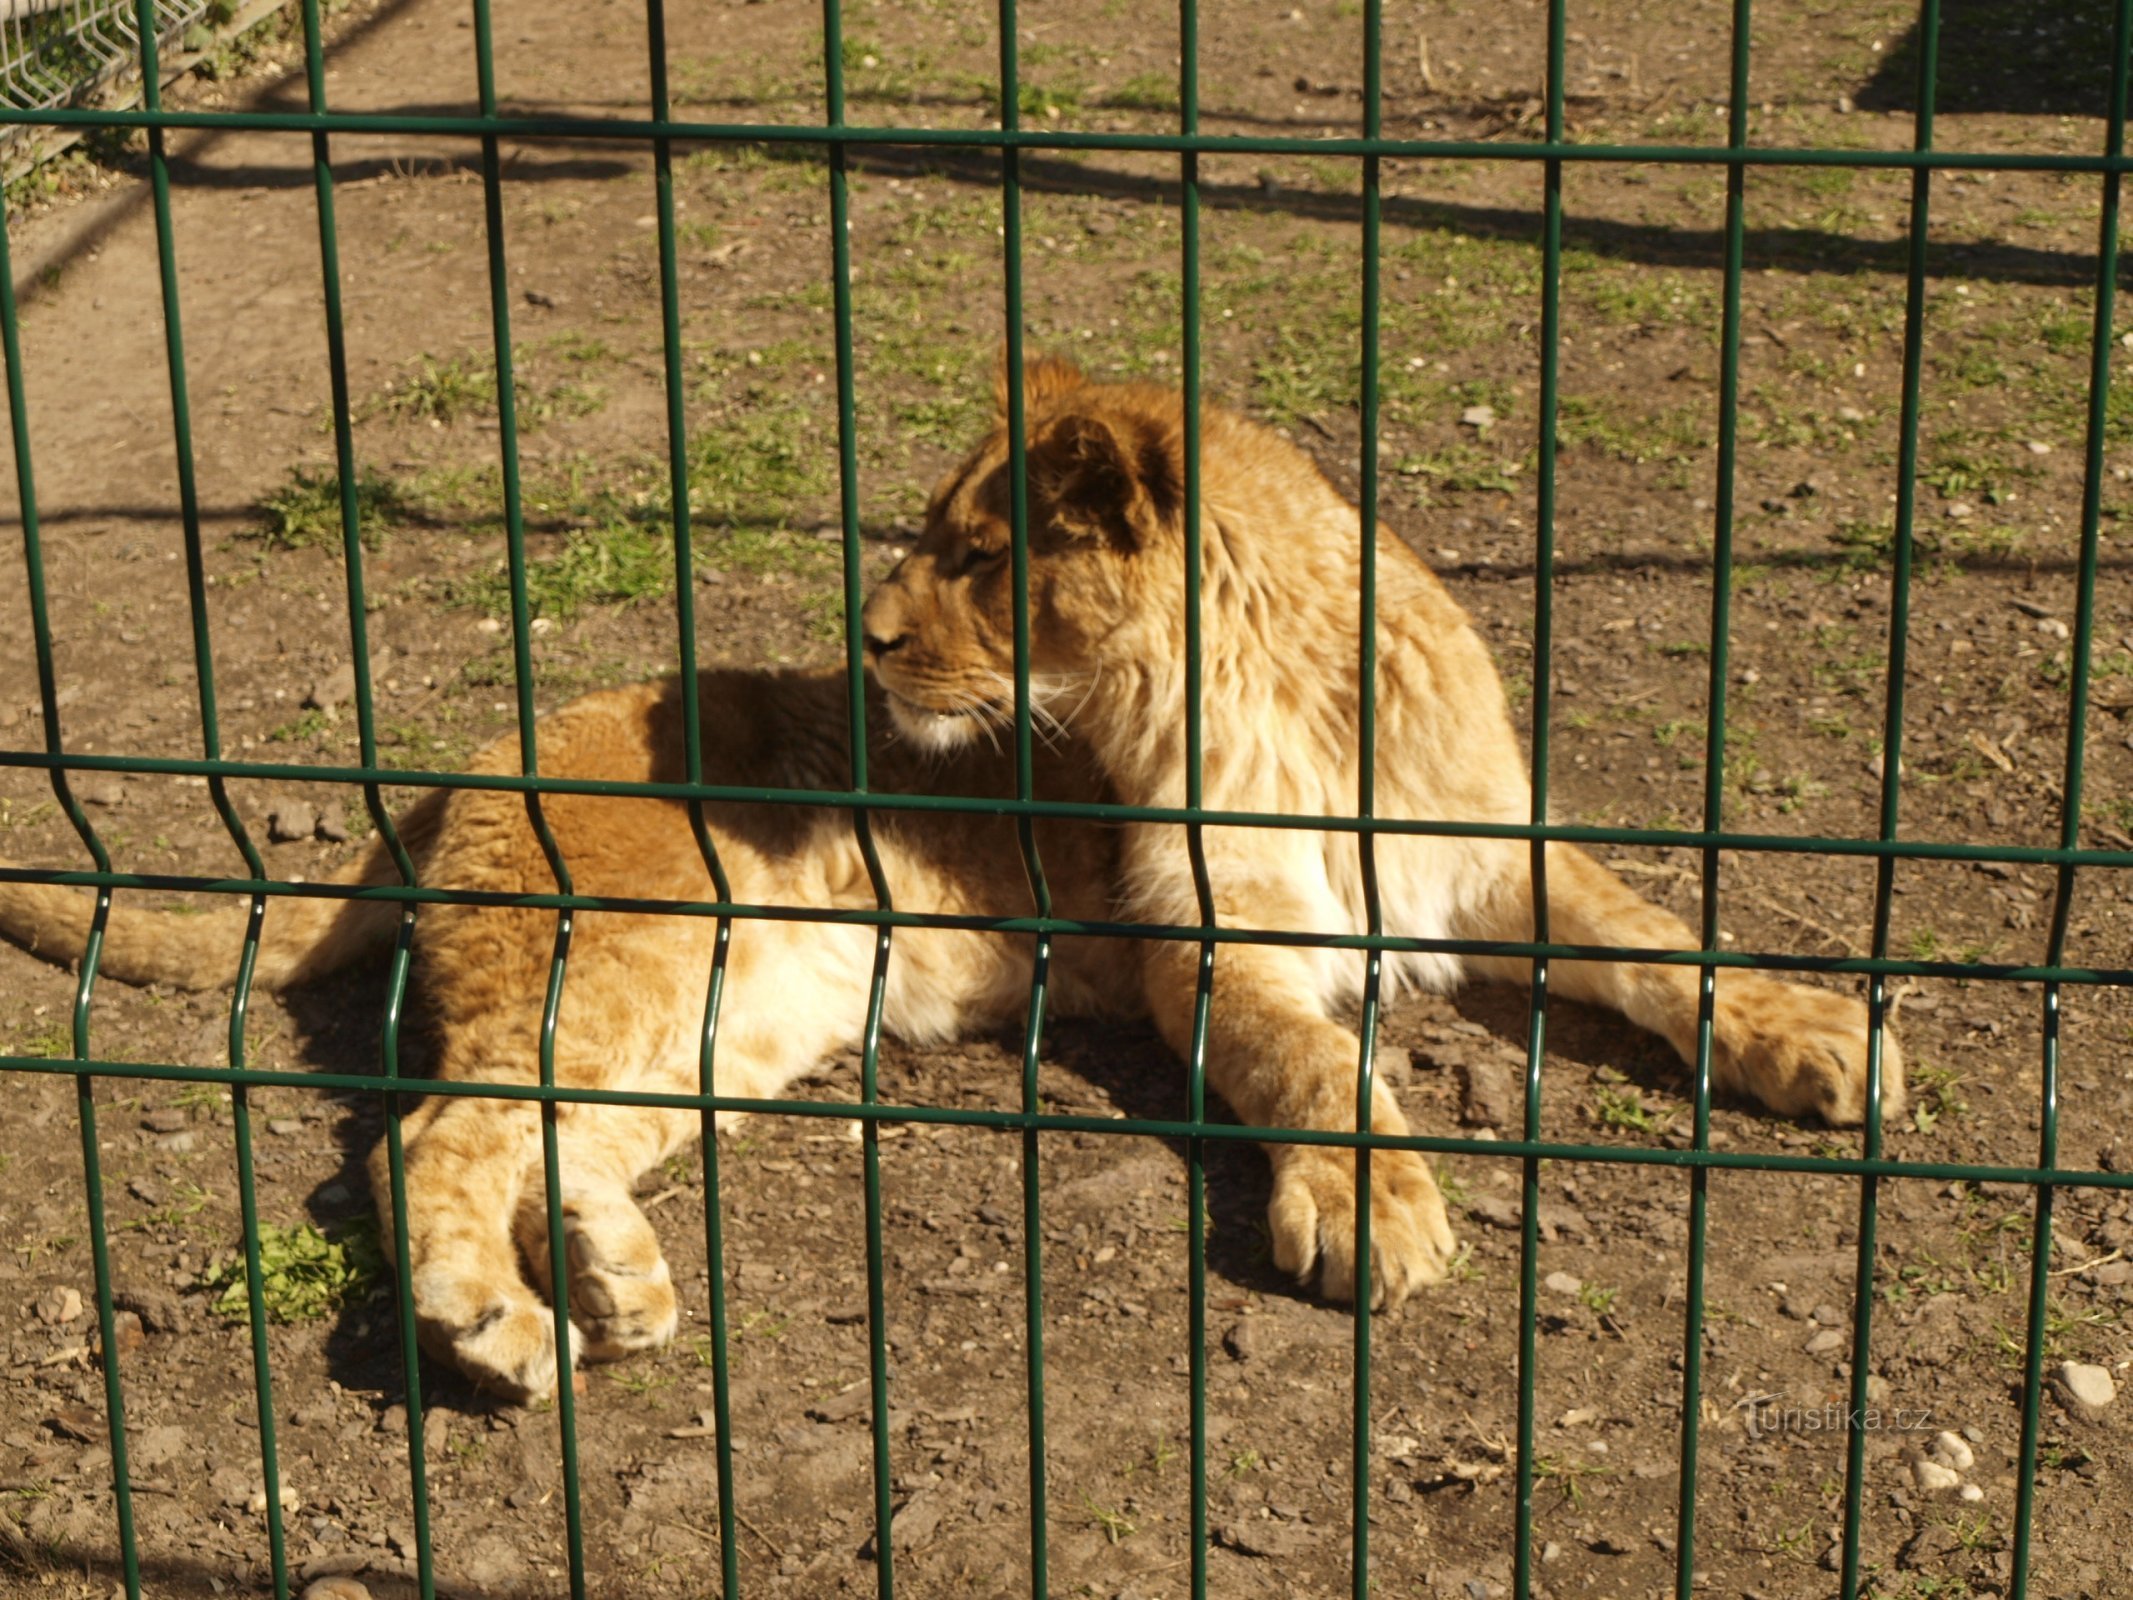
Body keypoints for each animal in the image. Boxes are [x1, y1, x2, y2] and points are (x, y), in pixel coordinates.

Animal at [0, 356, 1902, 1399]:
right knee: (424, 1141)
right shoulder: (1203, 949)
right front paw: (1367, 1204)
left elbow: (1659, 935)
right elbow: (1311, 1060)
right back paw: (497, 1327)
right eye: (928, 540)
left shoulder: (1491, 862)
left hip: (745, 1016)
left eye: (983, 555)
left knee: (540, 1136)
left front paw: (1820, 1034)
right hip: (640, 960)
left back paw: (609, 1278)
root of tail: (453, 779)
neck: (1283, 693)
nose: (865, 632)